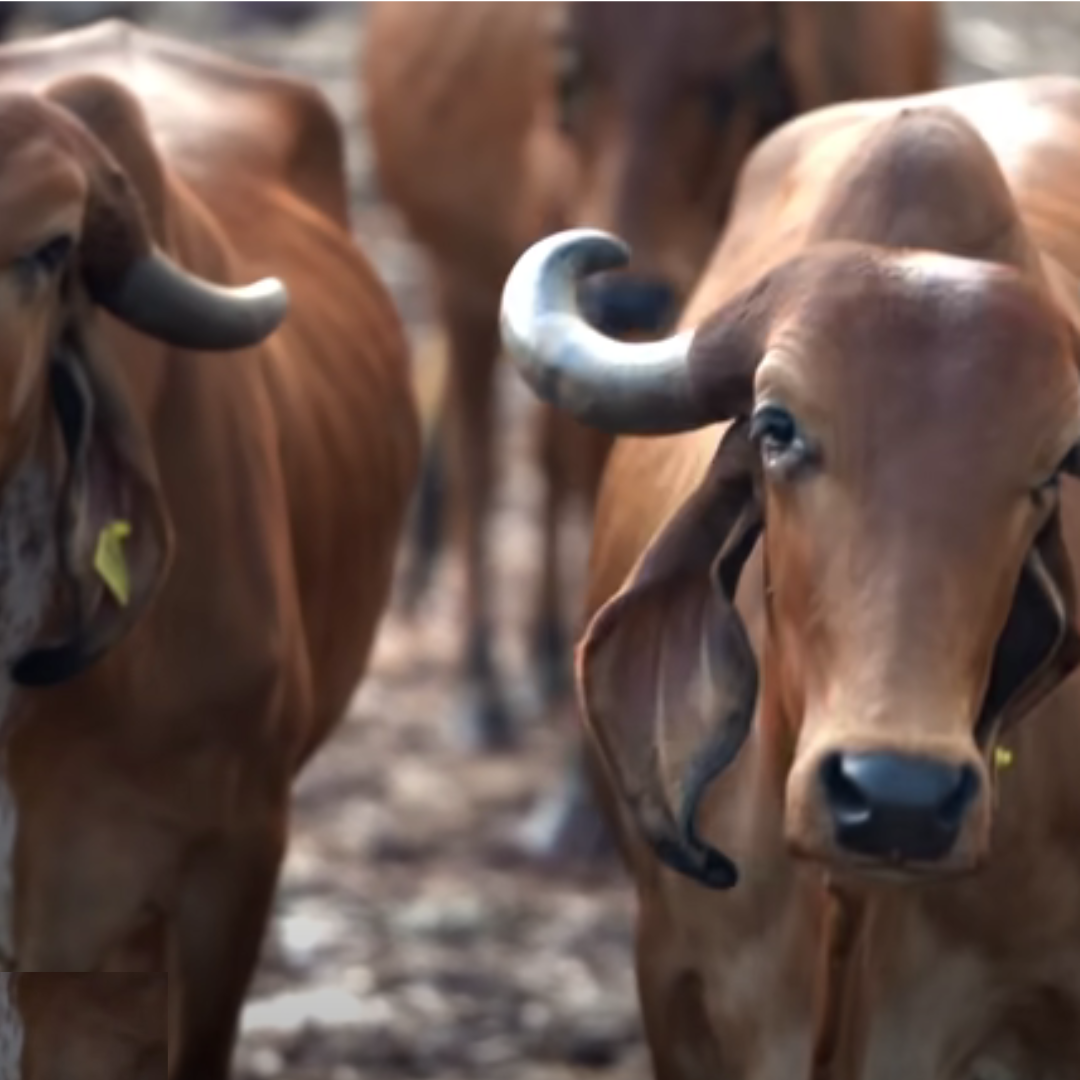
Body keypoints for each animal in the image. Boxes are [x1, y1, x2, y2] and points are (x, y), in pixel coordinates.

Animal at [362, 2, 940, 767]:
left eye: (741, 71)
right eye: (570, 64)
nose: (627, 301)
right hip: (462, 278)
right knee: (486, 456)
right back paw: (483, 680)